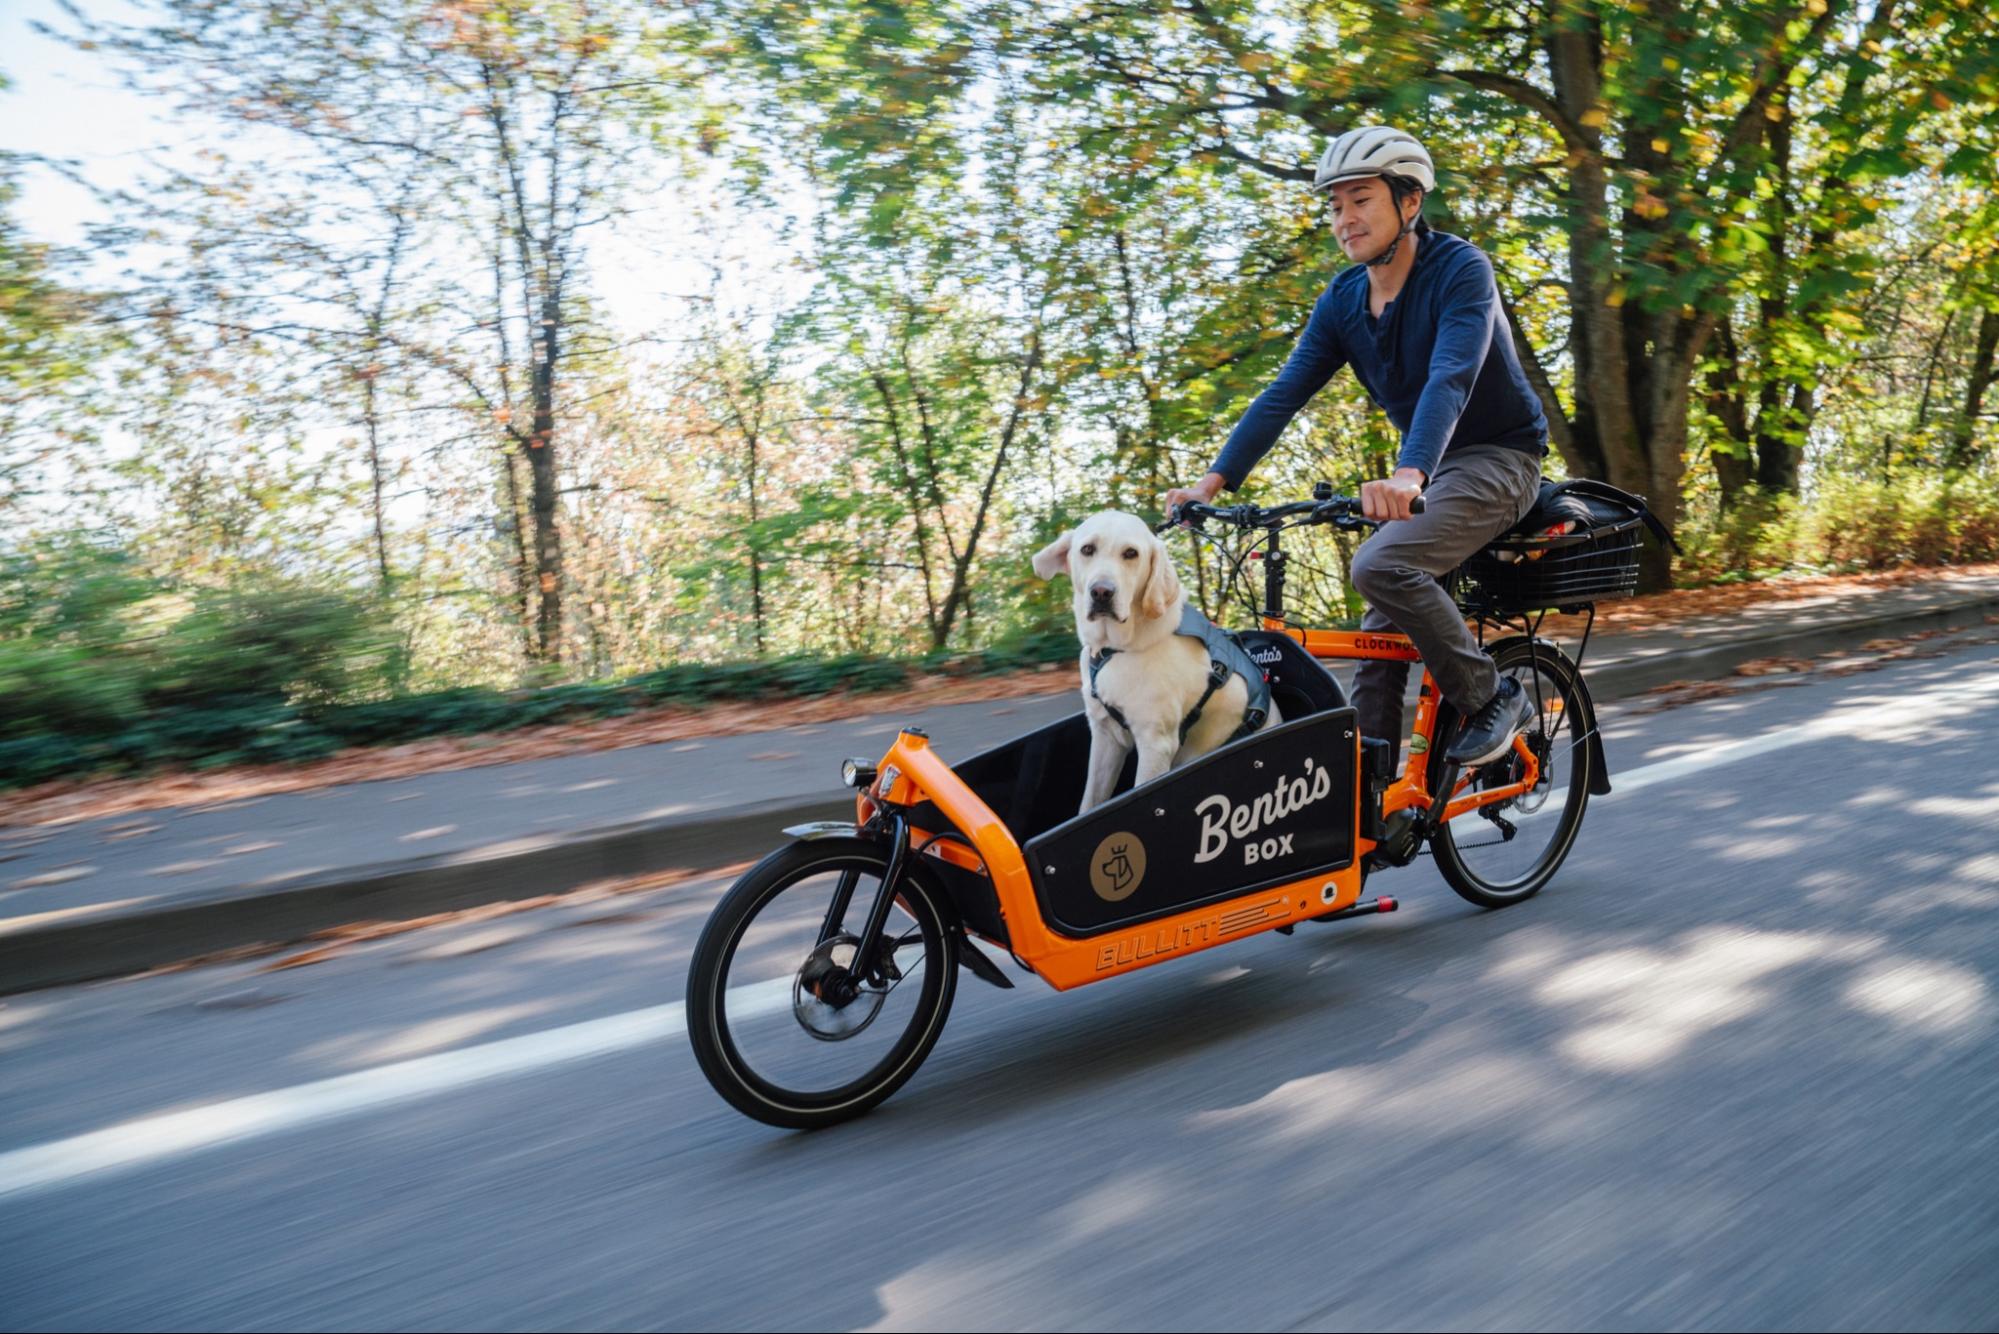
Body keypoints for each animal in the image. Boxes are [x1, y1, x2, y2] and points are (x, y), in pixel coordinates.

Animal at [1039, 512, 1271, 816]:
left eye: (1131, 553)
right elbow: (1091, 800)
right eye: (1087, 549)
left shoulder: (1156, 745)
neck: (1115, 649)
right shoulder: (1105, 736)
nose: (1102, 591)